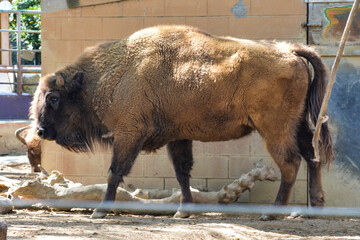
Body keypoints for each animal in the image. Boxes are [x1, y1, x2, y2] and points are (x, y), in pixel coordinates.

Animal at [30, 25, 332, 218]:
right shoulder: (178, 137)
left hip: (274, 128)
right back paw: (314, 208)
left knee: (290, 162)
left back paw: (273, 213)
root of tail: (290, 51)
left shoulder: (128, 134)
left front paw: (99, 212)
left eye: (54, 97)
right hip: (298, 124)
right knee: (311, 155)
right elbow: (182, 172)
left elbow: (114, 172)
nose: (41, 131)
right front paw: (183, 211)